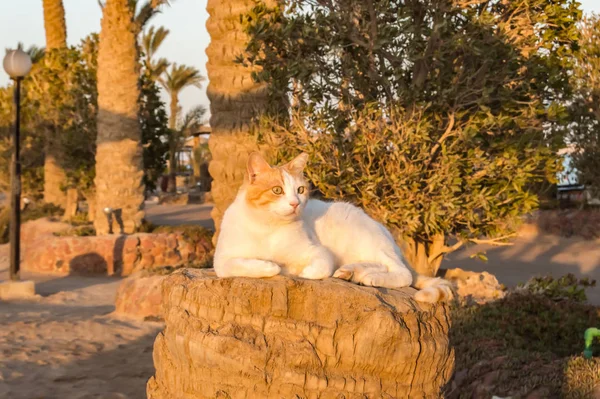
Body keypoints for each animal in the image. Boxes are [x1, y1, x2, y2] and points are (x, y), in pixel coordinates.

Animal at [213, 152, 452, 304]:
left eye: (300, 190)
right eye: (277, 190)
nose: (295, 203)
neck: (268, 227)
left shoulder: (317, 251)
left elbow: (318, 268)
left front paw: (299, 271)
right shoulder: (221, 260)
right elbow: (240, 265)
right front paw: (270, 265)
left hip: (365, 240)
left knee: (403, 273)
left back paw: (370, 277)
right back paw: (352, 272)